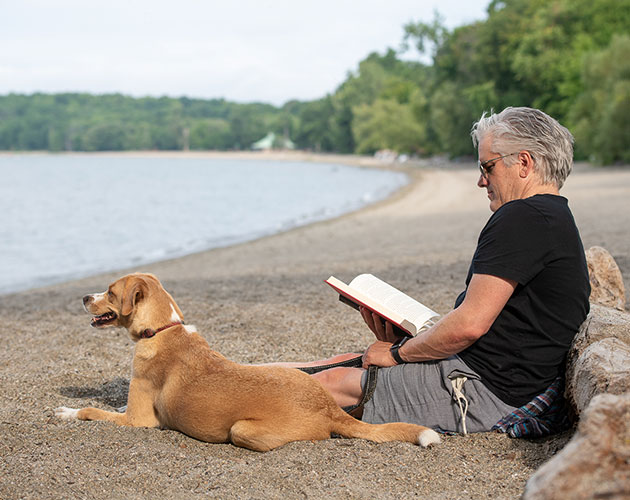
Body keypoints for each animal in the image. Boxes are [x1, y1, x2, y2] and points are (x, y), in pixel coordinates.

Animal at [55, 274, 440, 454]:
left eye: (110, 291)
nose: (84, 296)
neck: (162, 329)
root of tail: (329, 409)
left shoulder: (139, 421)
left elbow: (91, 411)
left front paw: (68, 412)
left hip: (241, 430)